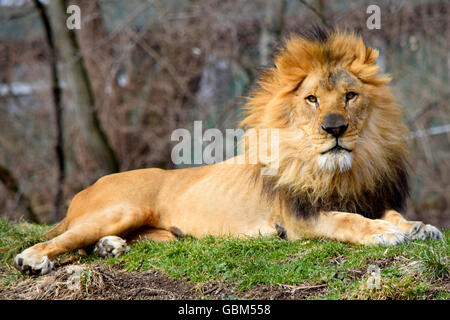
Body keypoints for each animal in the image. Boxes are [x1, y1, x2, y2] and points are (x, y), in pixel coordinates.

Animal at [14, 26, 442, 276]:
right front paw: (384, 233)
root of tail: (84, 191)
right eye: (312, 99)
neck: (340, 169)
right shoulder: (298, 220)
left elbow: (389, 213)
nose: (335, 128)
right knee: (56, 240)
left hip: (162, 233)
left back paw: (110, 247)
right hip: (122, 208)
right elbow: (346, 220)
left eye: (350, 96)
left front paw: (416, 226)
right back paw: (32, 260)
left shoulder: (369, 196)